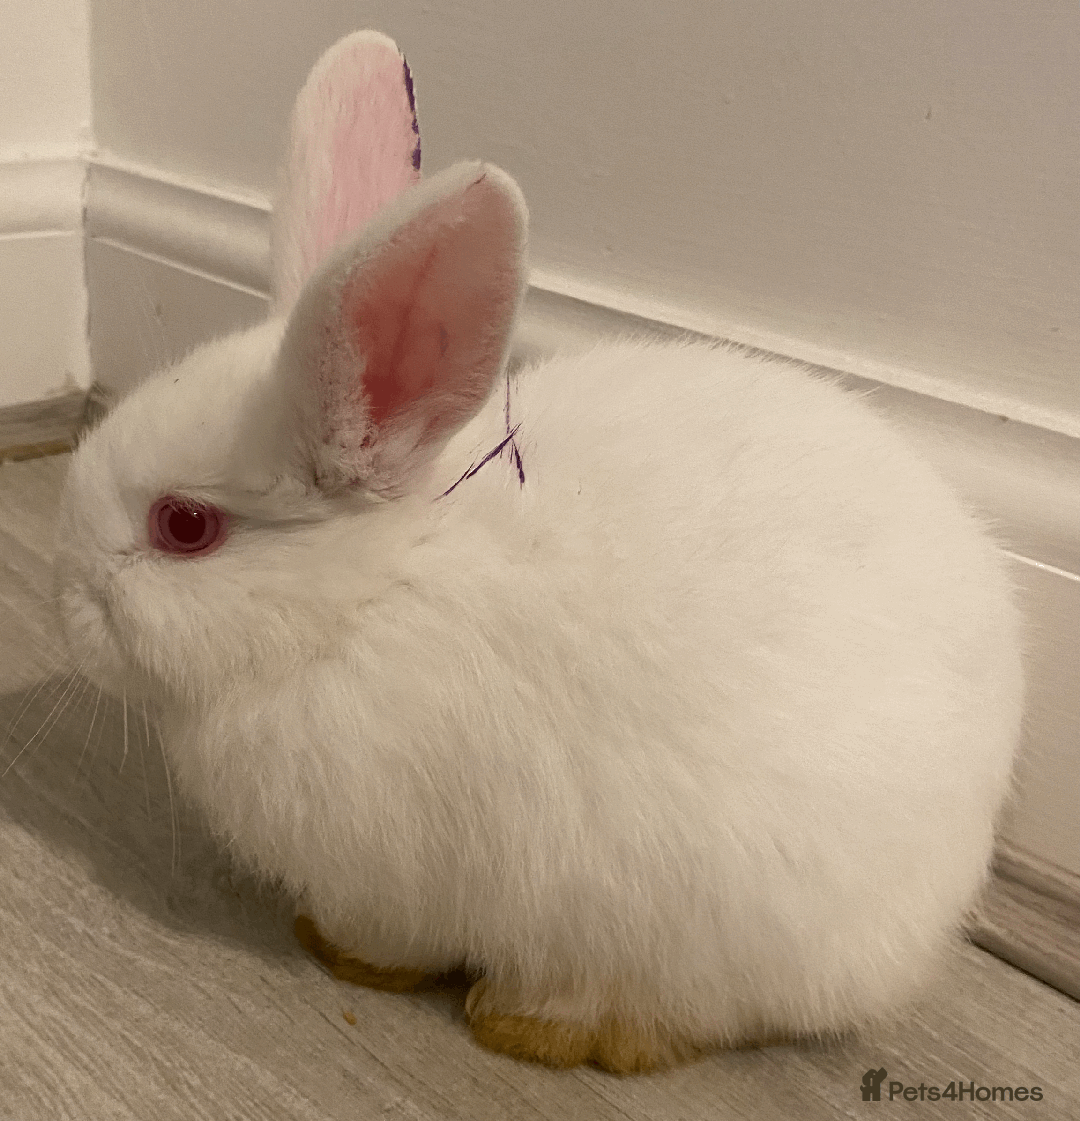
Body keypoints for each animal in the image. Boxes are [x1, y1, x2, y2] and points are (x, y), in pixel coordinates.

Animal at [54, 31, 1025, 1074]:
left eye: (184, 526)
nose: (68, 605)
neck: (368, 599)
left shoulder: (394, 874)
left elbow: (390, 935)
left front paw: (337, 951)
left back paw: (542, 1023)